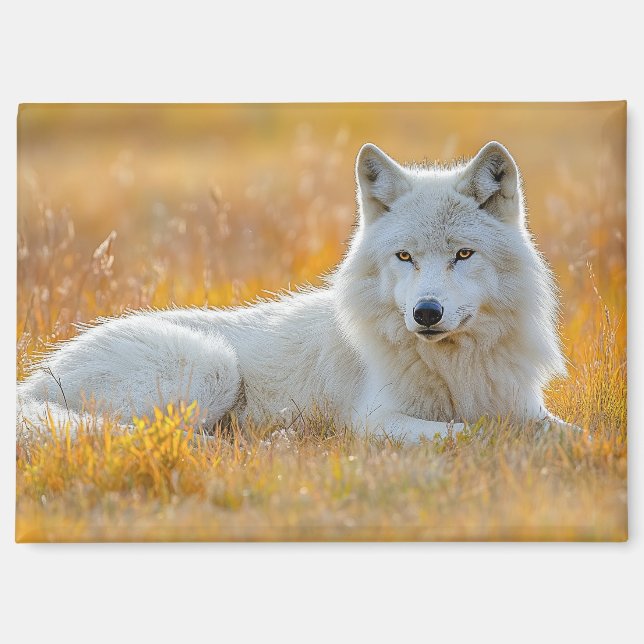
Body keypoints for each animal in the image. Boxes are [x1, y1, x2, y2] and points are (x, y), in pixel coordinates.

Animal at [17, 141, 569, 442]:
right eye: (404, 257)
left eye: (463, 255)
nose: (426, 313)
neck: (455, 368)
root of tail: (35, 381)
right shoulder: (372, 421)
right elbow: (473, 432)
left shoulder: (525, 406)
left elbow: (563, 432)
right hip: (211, 367)